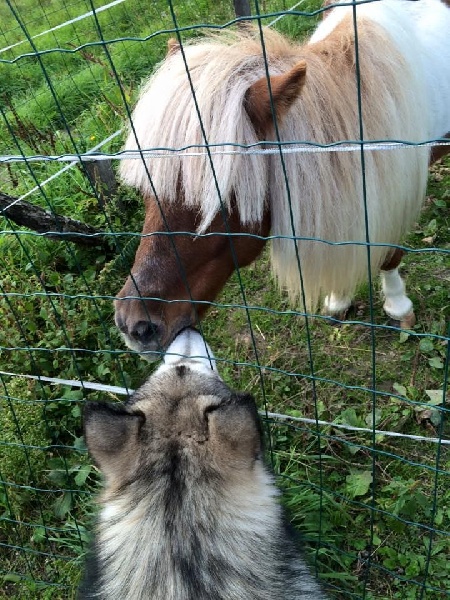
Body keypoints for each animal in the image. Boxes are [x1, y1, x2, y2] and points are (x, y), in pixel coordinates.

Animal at [114, 0, 448, 356]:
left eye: (215, 198)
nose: (134, 325)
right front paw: (339, 298)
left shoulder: (396, 195)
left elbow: (389, 253)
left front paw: (398, 306)